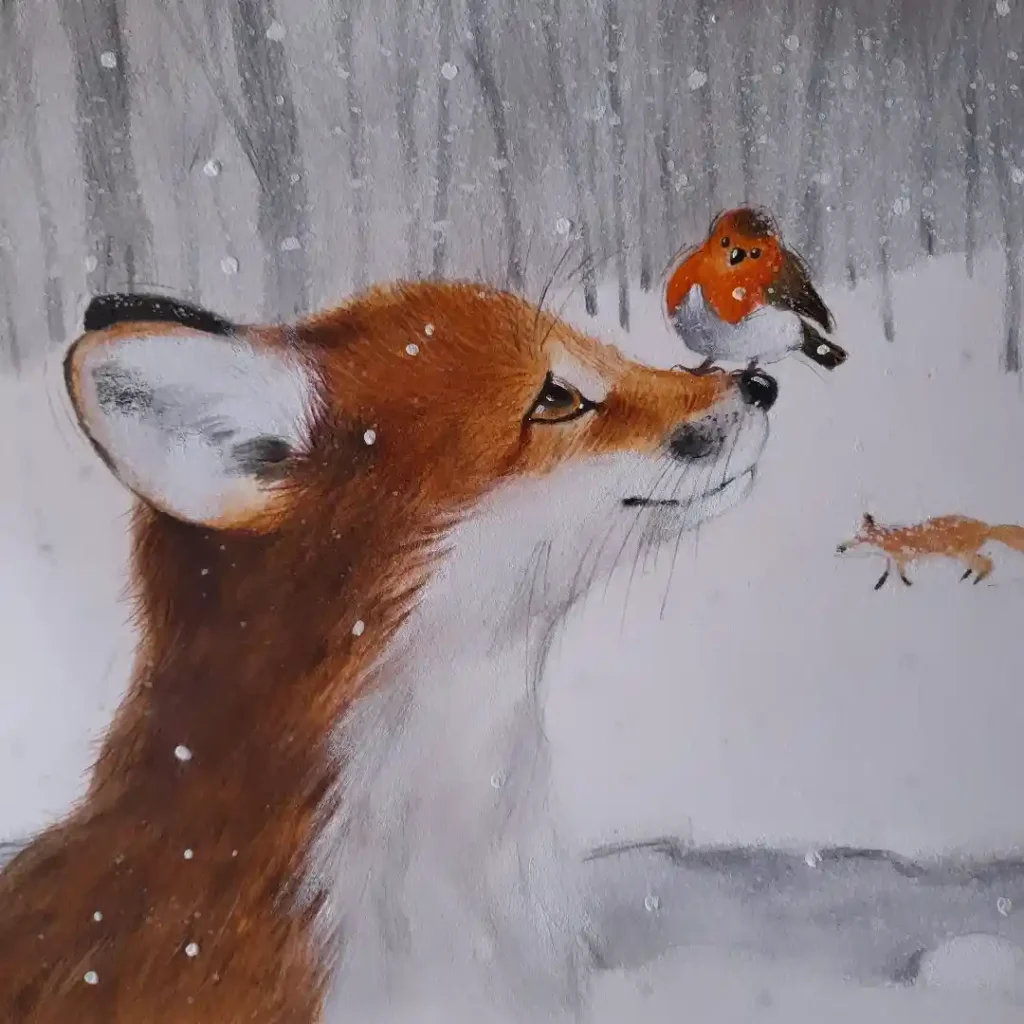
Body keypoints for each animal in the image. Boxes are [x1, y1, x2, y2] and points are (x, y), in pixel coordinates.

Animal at [836, 512, 1024, 590]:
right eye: (856, 536)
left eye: (860, 539)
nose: (840, 547)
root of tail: (985, 526)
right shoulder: (893, 558)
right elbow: (888, 572)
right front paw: (880, 585)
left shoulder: (902, 556)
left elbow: (899, 573)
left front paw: (907, 585)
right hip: (963, 555)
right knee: (981, 564)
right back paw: (967, 577)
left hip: (960, 554)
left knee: (987, 563)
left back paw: (975, 581)